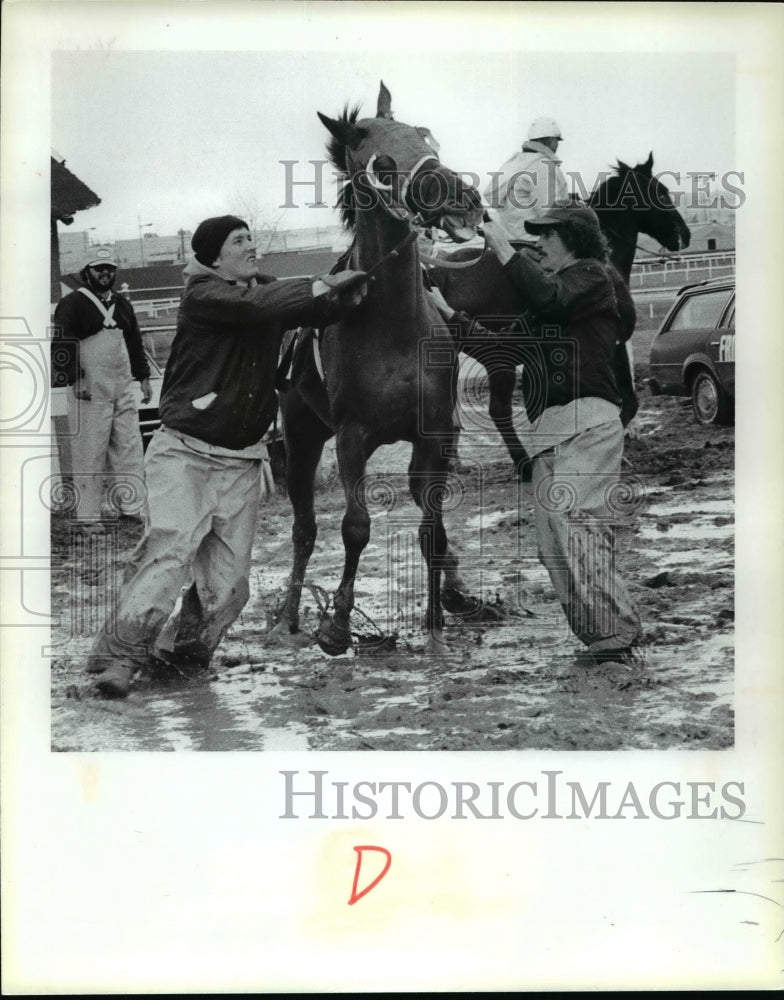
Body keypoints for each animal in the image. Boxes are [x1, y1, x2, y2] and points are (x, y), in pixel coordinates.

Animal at [272, 82, 486, 652]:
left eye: (423, 136)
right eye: (381, 161)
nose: (459, 196)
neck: (392, 327)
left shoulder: (433, 435)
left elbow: (433, 529)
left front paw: (434, 624)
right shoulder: (351, 437)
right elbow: (355, 525)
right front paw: (338, 623)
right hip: (301, 440)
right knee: (304, 528)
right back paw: (287, 614)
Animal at [428, 154, 692, 478]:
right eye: (662, 193)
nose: (683, 235)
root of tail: (440, 273)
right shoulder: (616, 344)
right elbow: (628, 402)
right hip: (497, 359)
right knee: (498, 410)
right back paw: (523, 463)